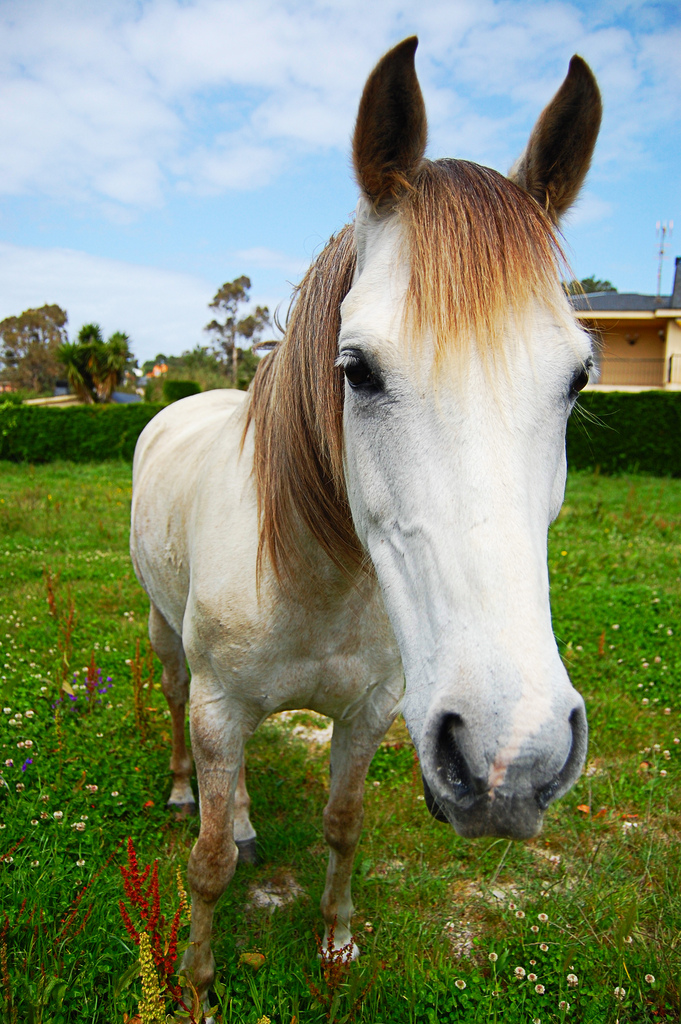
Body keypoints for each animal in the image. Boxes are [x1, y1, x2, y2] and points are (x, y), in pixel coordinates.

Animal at [131, 37, 602, 1007]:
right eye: (357, 369)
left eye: (578, 376)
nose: (513, 758)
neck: (315, 576)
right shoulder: (219, 709)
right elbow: (204, 867)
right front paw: (194, 987)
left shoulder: (371, 714)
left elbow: (342, 826)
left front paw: (336, 943)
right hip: (170, 648)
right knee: (174, 710)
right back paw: (185, 793)